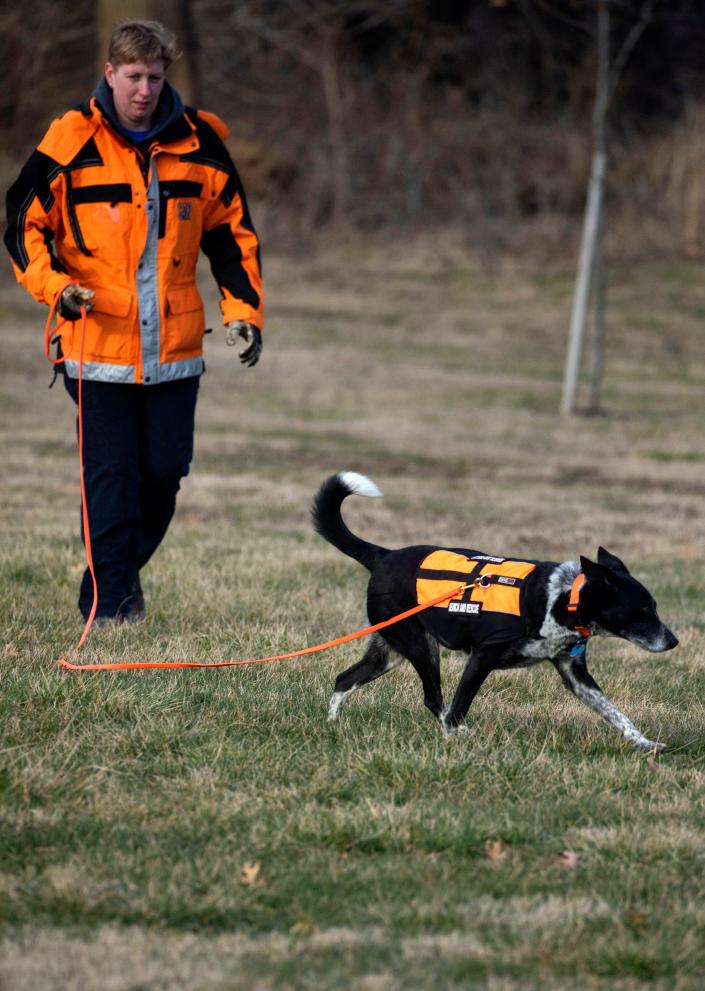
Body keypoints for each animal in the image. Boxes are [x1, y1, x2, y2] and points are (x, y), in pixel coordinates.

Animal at [314, 472, 676, 752]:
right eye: (643, 609)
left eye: (654, 606)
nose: (673, 641)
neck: (562, 597)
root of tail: (383, 555)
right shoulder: (482, 657)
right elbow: (458, 706)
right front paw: (457, 734)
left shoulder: (574, 673)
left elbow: (615, 713)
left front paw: (645, 743)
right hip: (419, 646)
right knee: (433, 700)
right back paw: (455, 733)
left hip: (389, 650)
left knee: (344, 679)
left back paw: (333, 726)